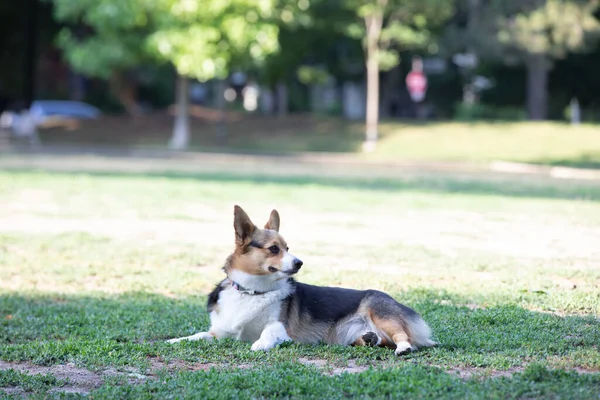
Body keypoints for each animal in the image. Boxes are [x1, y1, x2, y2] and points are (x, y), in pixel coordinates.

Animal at [166, 205, 434, 354]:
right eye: (274, 249)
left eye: (288, 248)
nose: (299, 263)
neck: (252, 291)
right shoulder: (218, 333)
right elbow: (198, 335)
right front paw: (175, 340)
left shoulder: (281, 327)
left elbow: (268, 332)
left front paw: (259, 345)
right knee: (380, 340)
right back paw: (369, 339)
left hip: (381, 314)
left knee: (404, 337)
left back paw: (403, 348)